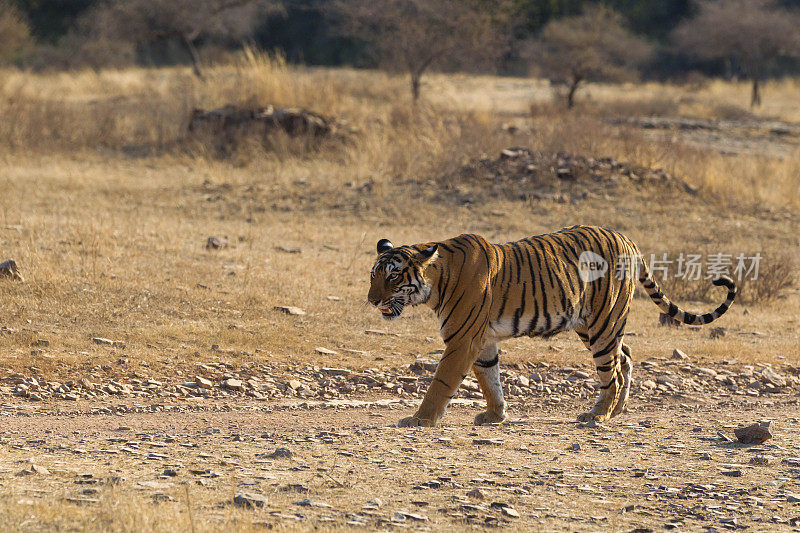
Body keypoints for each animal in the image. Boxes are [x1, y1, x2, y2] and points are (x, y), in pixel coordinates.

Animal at [368, 222, 736, 426]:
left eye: (393, 276)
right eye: (373, 275)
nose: (371, 300)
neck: (436, 281)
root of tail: (627, 239)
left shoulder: (462, 340)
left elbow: (441, 382)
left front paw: (420, 419)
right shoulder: (482, 341)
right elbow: (490, 379)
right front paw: (495, 415)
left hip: (603, 322)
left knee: (612, 370)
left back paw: (598, 415)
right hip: (590, 324)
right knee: (626, 355)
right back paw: (617, 410)